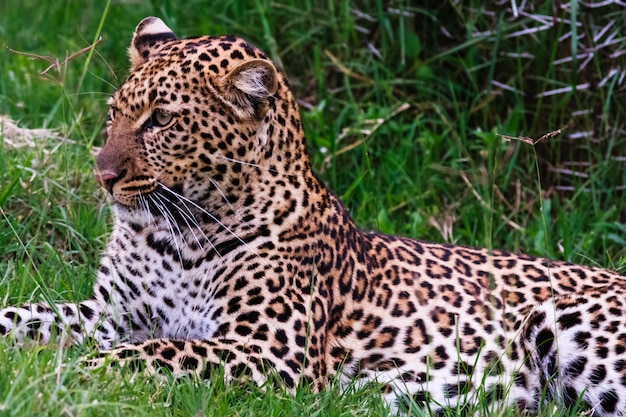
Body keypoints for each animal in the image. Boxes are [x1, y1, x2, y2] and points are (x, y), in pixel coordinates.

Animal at [3, 15, 624, 412]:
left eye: (161, 120)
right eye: (114, 112)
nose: (102, 174)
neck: (171, 235)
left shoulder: (269, 352)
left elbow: (157, 351)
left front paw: (74, 373)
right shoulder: (111, 312)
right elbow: (30, 315)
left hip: (573, 332)